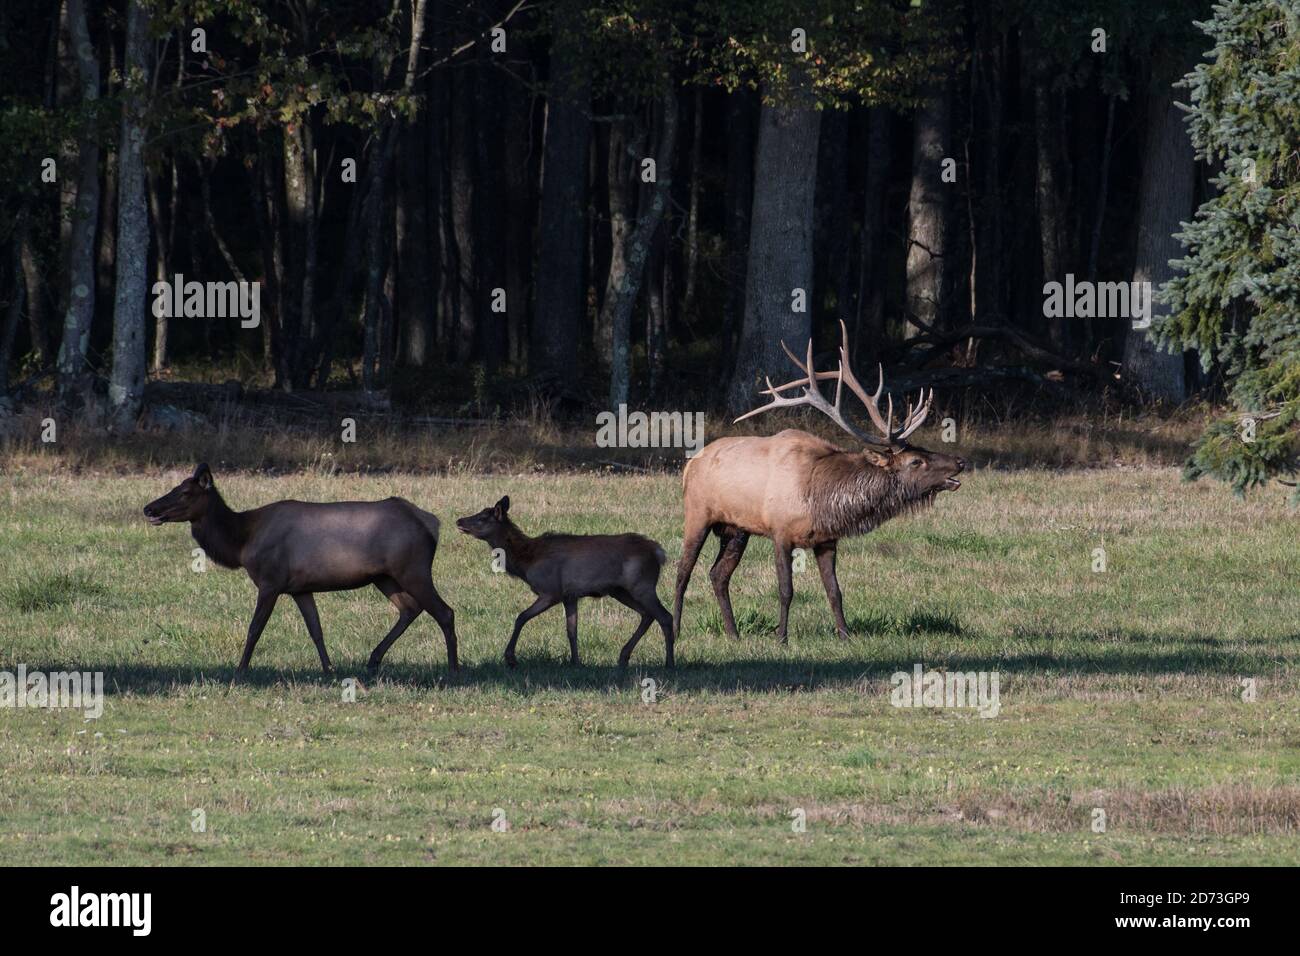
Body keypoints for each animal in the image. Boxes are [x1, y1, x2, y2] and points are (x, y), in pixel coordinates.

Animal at [144, 465, 460, 676]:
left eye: (185, 492)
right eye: (173, 487)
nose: (149, 509)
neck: (241, 542)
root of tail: (432, 523)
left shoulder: (270, 581)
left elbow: (254, 628)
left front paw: (240, 670)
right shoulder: (300, 588)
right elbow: (316, 629)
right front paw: (329, 669)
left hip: (413, 568)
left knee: (444, 611)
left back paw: (453, 668)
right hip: (385, 577)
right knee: (410, 608)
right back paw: (373, 660)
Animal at [457, 496, 676, 671]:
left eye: (482, 518)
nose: (459, 520)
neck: (526, 561)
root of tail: (659, 552)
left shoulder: (551, 591)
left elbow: (521, 617)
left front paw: (510, 658)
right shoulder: (570, 596)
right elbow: (572, 630)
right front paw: (575, 662)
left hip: (642, 585)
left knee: (665, 616)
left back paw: (669, 663)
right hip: (620, 591)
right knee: (647, 614)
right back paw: (623, 657)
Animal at [681, 321, 967, 642]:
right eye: (916, 461)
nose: (960, 462)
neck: (819, 498)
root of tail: (690, 464)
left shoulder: (827, 540)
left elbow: (835, 591)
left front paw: (845, 635)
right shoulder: (780, 531)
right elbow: (786, 590)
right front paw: (782, 637)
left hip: (736, 529)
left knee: (718, 574)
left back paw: (733, 634)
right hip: (697, 514)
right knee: (683, 572)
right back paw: (676, 629)